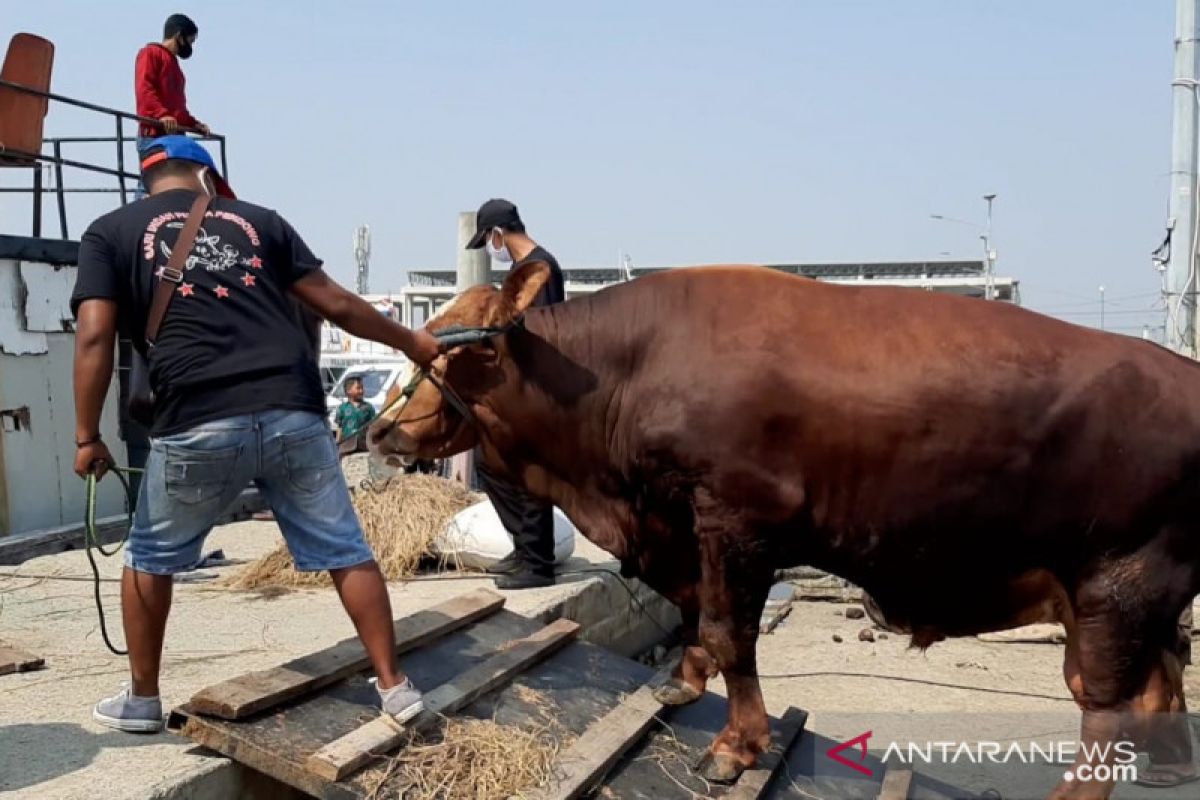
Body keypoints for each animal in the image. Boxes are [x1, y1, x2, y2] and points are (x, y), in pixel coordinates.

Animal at [369, 262, 1195, 800]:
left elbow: (732, 630)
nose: (381, 429)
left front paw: (736, 746)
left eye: (471, 346)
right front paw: (682, 678)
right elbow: (694, 613)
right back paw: (1168, 763)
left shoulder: (736, 517)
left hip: (1116, 585)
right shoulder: (682, 527)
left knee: (1105, 705)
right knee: (1163, 673)